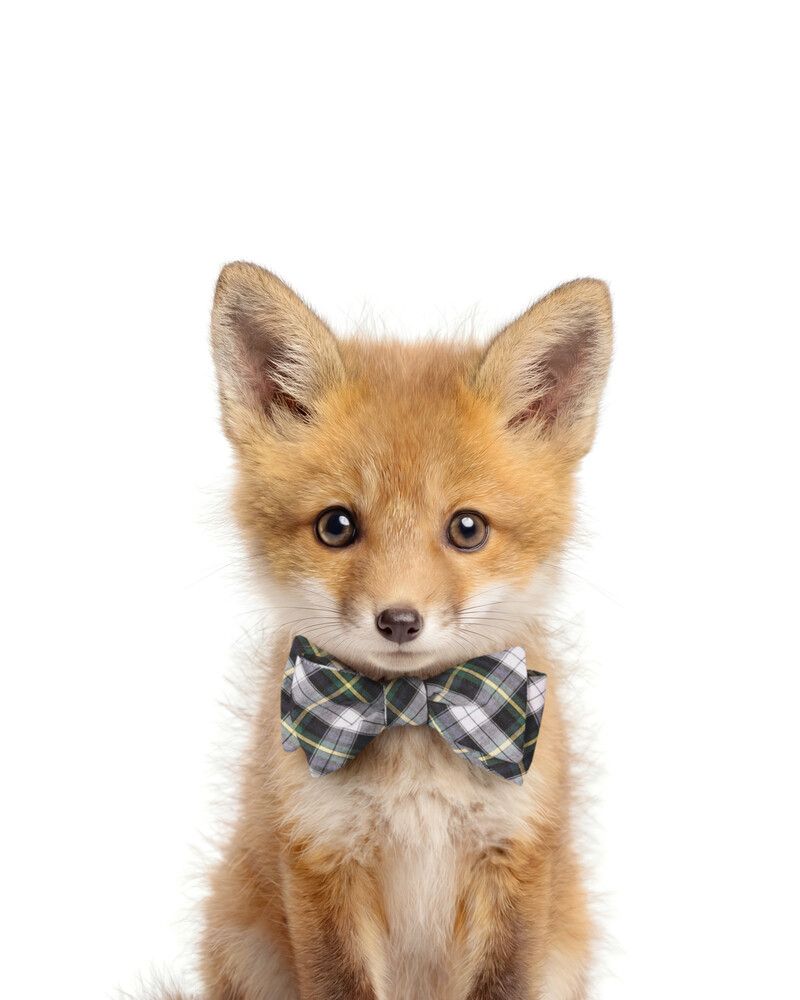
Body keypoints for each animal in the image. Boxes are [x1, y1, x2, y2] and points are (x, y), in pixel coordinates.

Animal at [156, 262, 612, 1000]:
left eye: (467, 528)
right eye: (336, 526)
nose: (399, 619)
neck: (411, 717)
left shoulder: (516, 862)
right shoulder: (321, 859)